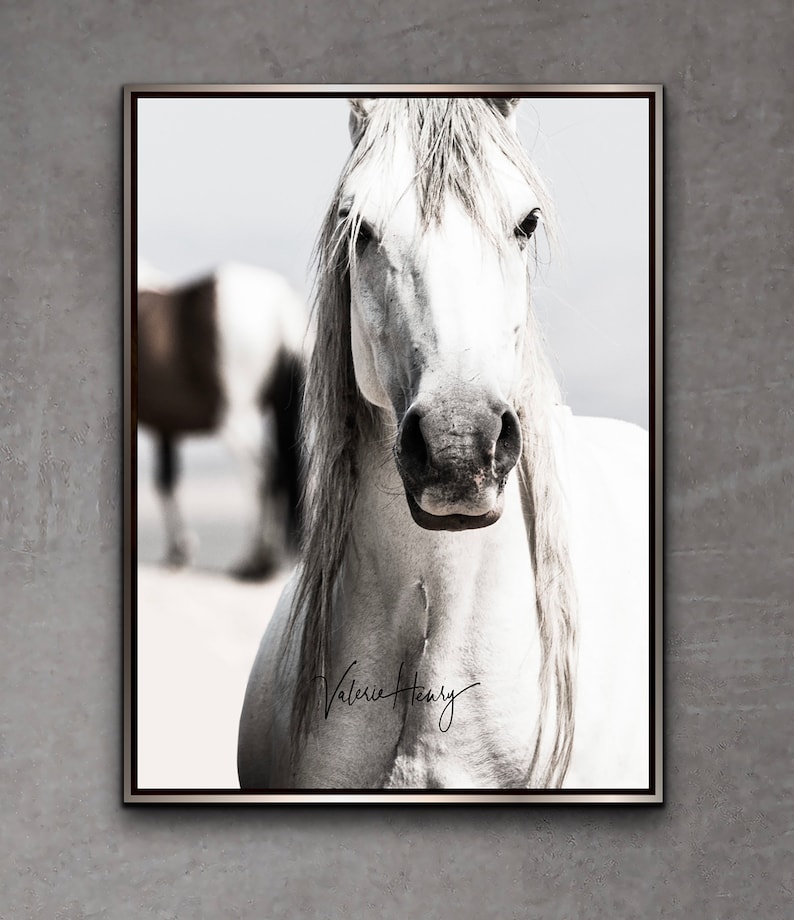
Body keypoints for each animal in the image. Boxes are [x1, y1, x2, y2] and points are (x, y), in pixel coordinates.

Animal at [136, 261, 307, 579]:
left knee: (260, 472)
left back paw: (254, 559)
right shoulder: (166, 427)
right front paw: (178, 551)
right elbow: (166, 480)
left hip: (237, 421)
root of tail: (278, 307)